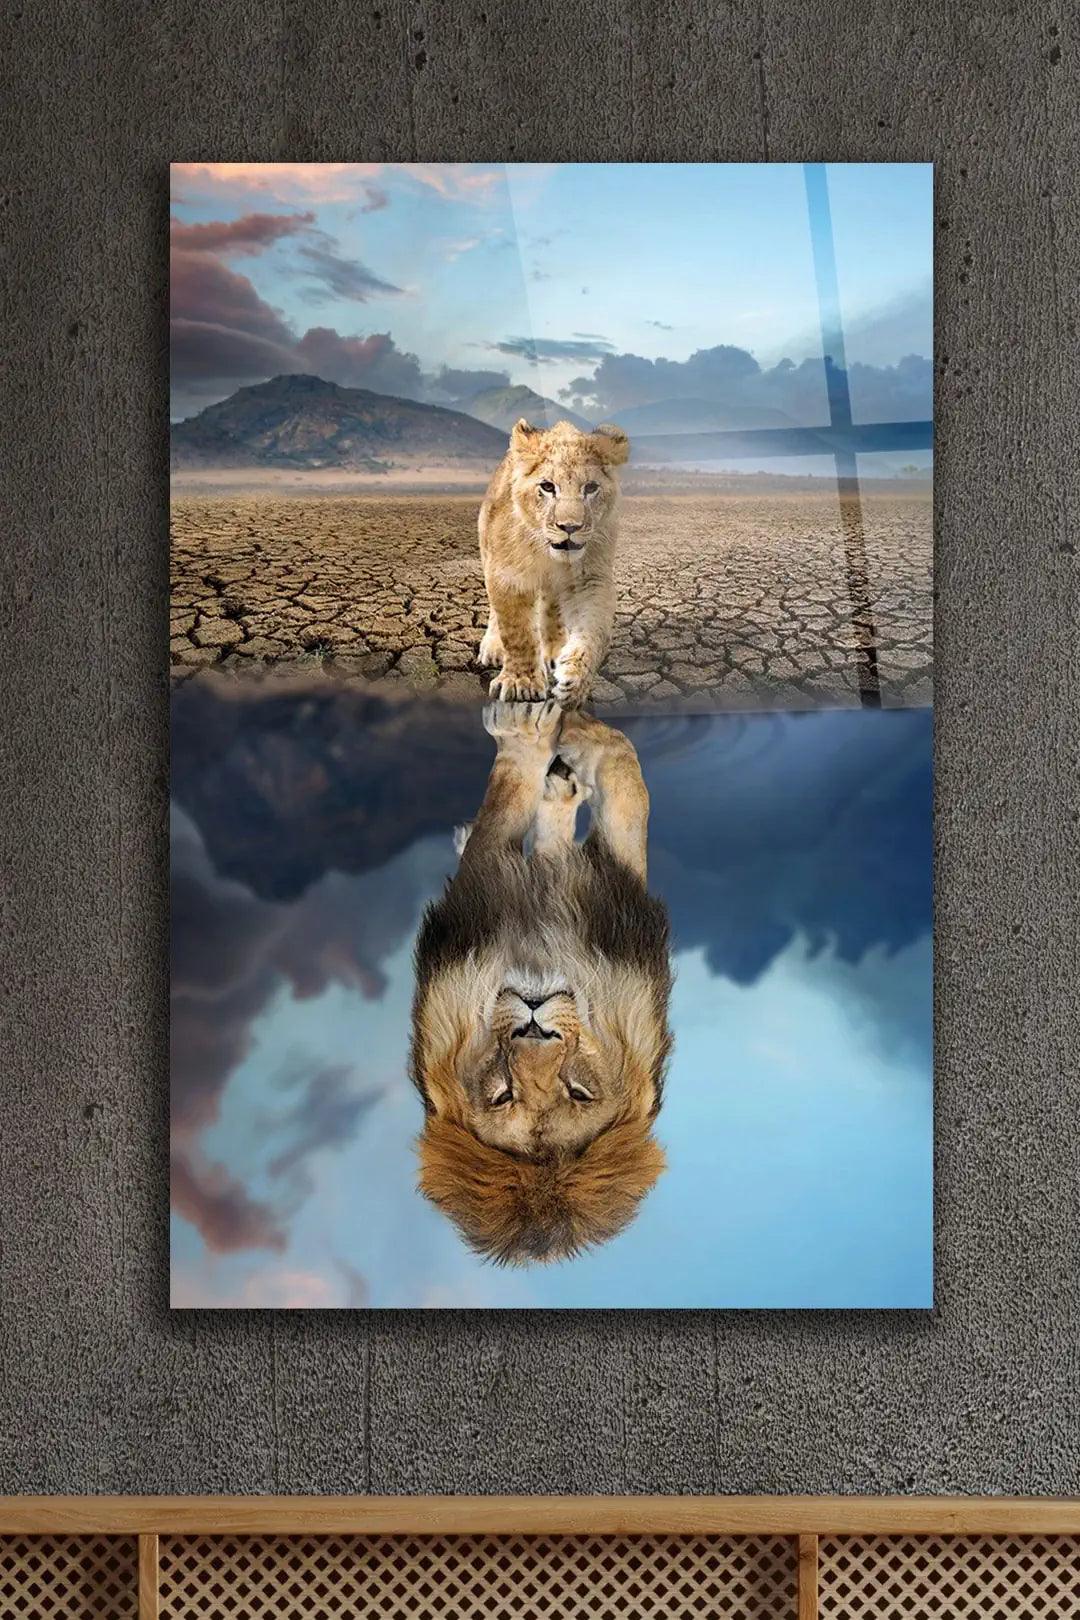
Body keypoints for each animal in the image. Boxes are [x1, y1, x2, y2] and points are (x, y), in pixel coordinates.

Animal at [410, 701, 673, 1265]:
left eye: (578, 1092)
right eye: (503, 1095)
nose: (534, 1027)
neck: (540, 953)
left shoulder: (612, 902)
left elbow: (623, 786)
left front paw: (548, 737)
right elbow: (623, 782)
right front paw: (552, 736)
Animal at [477, 418, 629, 708]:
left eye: (590, 487)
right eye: (547, 487)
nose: (570, 527)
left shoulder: (590, 579)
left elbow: (595, 632)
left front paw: (575, 681)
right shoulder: (508, 576)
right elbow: (517, 632)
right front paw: (521, 683)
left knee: (552, 608)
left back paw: (555, 651)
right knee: (495, 612)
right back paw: (492, 648)